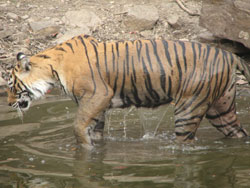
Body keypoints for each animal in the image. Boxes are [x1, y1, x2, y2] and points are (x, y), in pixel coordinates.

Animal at [0, 34, 250, 150]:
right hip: (221, 108)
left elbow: (78, 125)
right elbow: (93, 128)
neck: (52, 67)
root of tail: (230, 55)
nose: (9, 103)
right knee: (237, 131)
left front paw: (84, 149)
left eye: (11, 86)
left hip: (190, 106)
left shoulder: (97, 95)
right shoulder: (97, 105)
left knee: (186, 140)